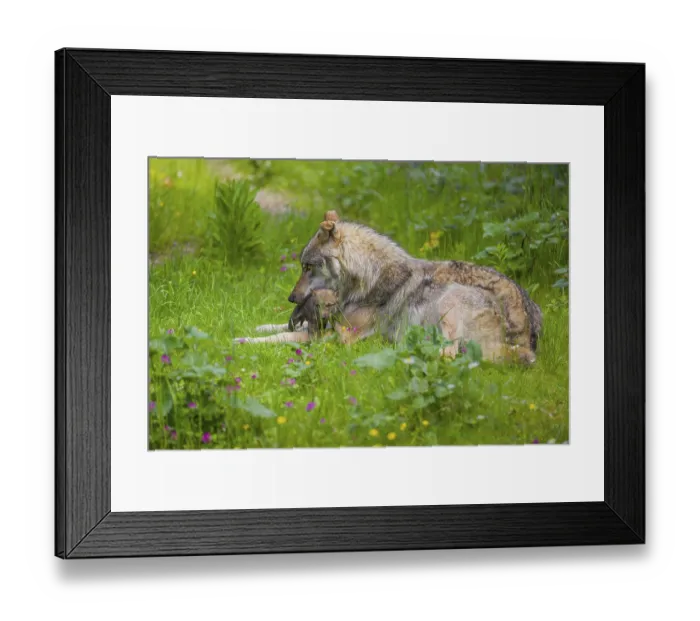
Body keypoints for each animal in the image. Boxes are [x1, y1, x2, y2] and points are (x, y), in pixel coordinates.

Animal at [288, 210, 543, 363]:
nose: (291, 298)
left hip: (449, 302)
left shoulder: (344, 332)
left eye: (307, 267)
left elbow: (292, 335)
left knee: (448, 354)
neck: (369, 278)